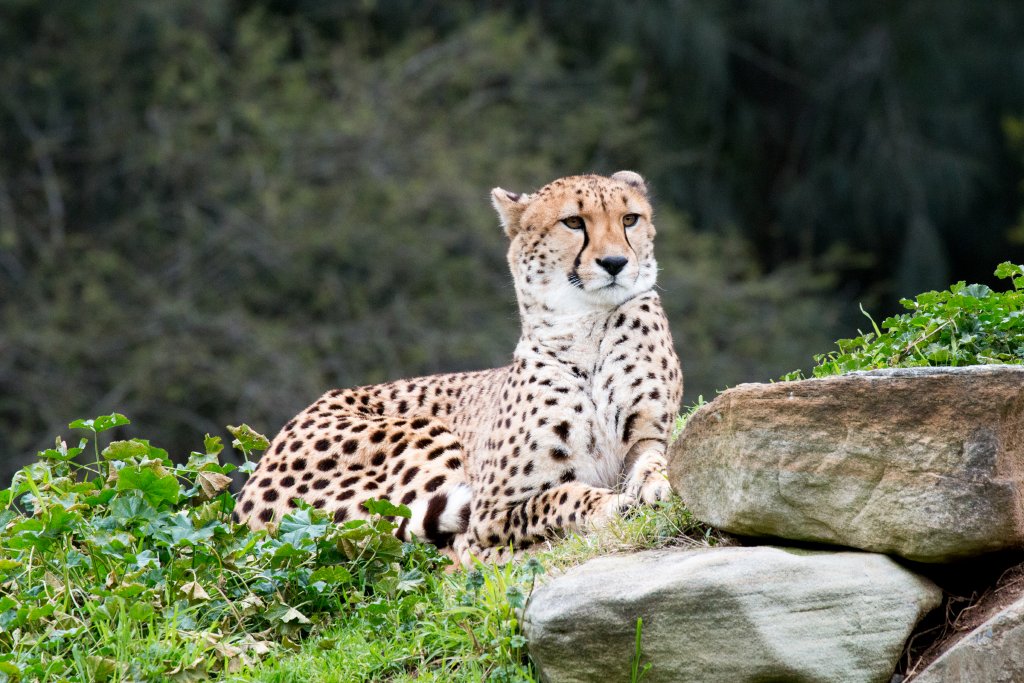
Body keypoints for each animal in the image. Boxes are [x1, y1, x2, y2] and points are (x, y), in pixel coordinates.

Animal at [235, 170, 683, 563]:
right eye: (573, 222)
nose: (615, 262)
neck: (586, 325)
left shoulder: (645, 436)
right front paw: (612, 505)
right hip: (422, 434)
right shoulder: (491, 509)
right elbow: (556, 498)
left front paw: (659, 486)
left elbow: (655, 460)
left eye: (630, 219)